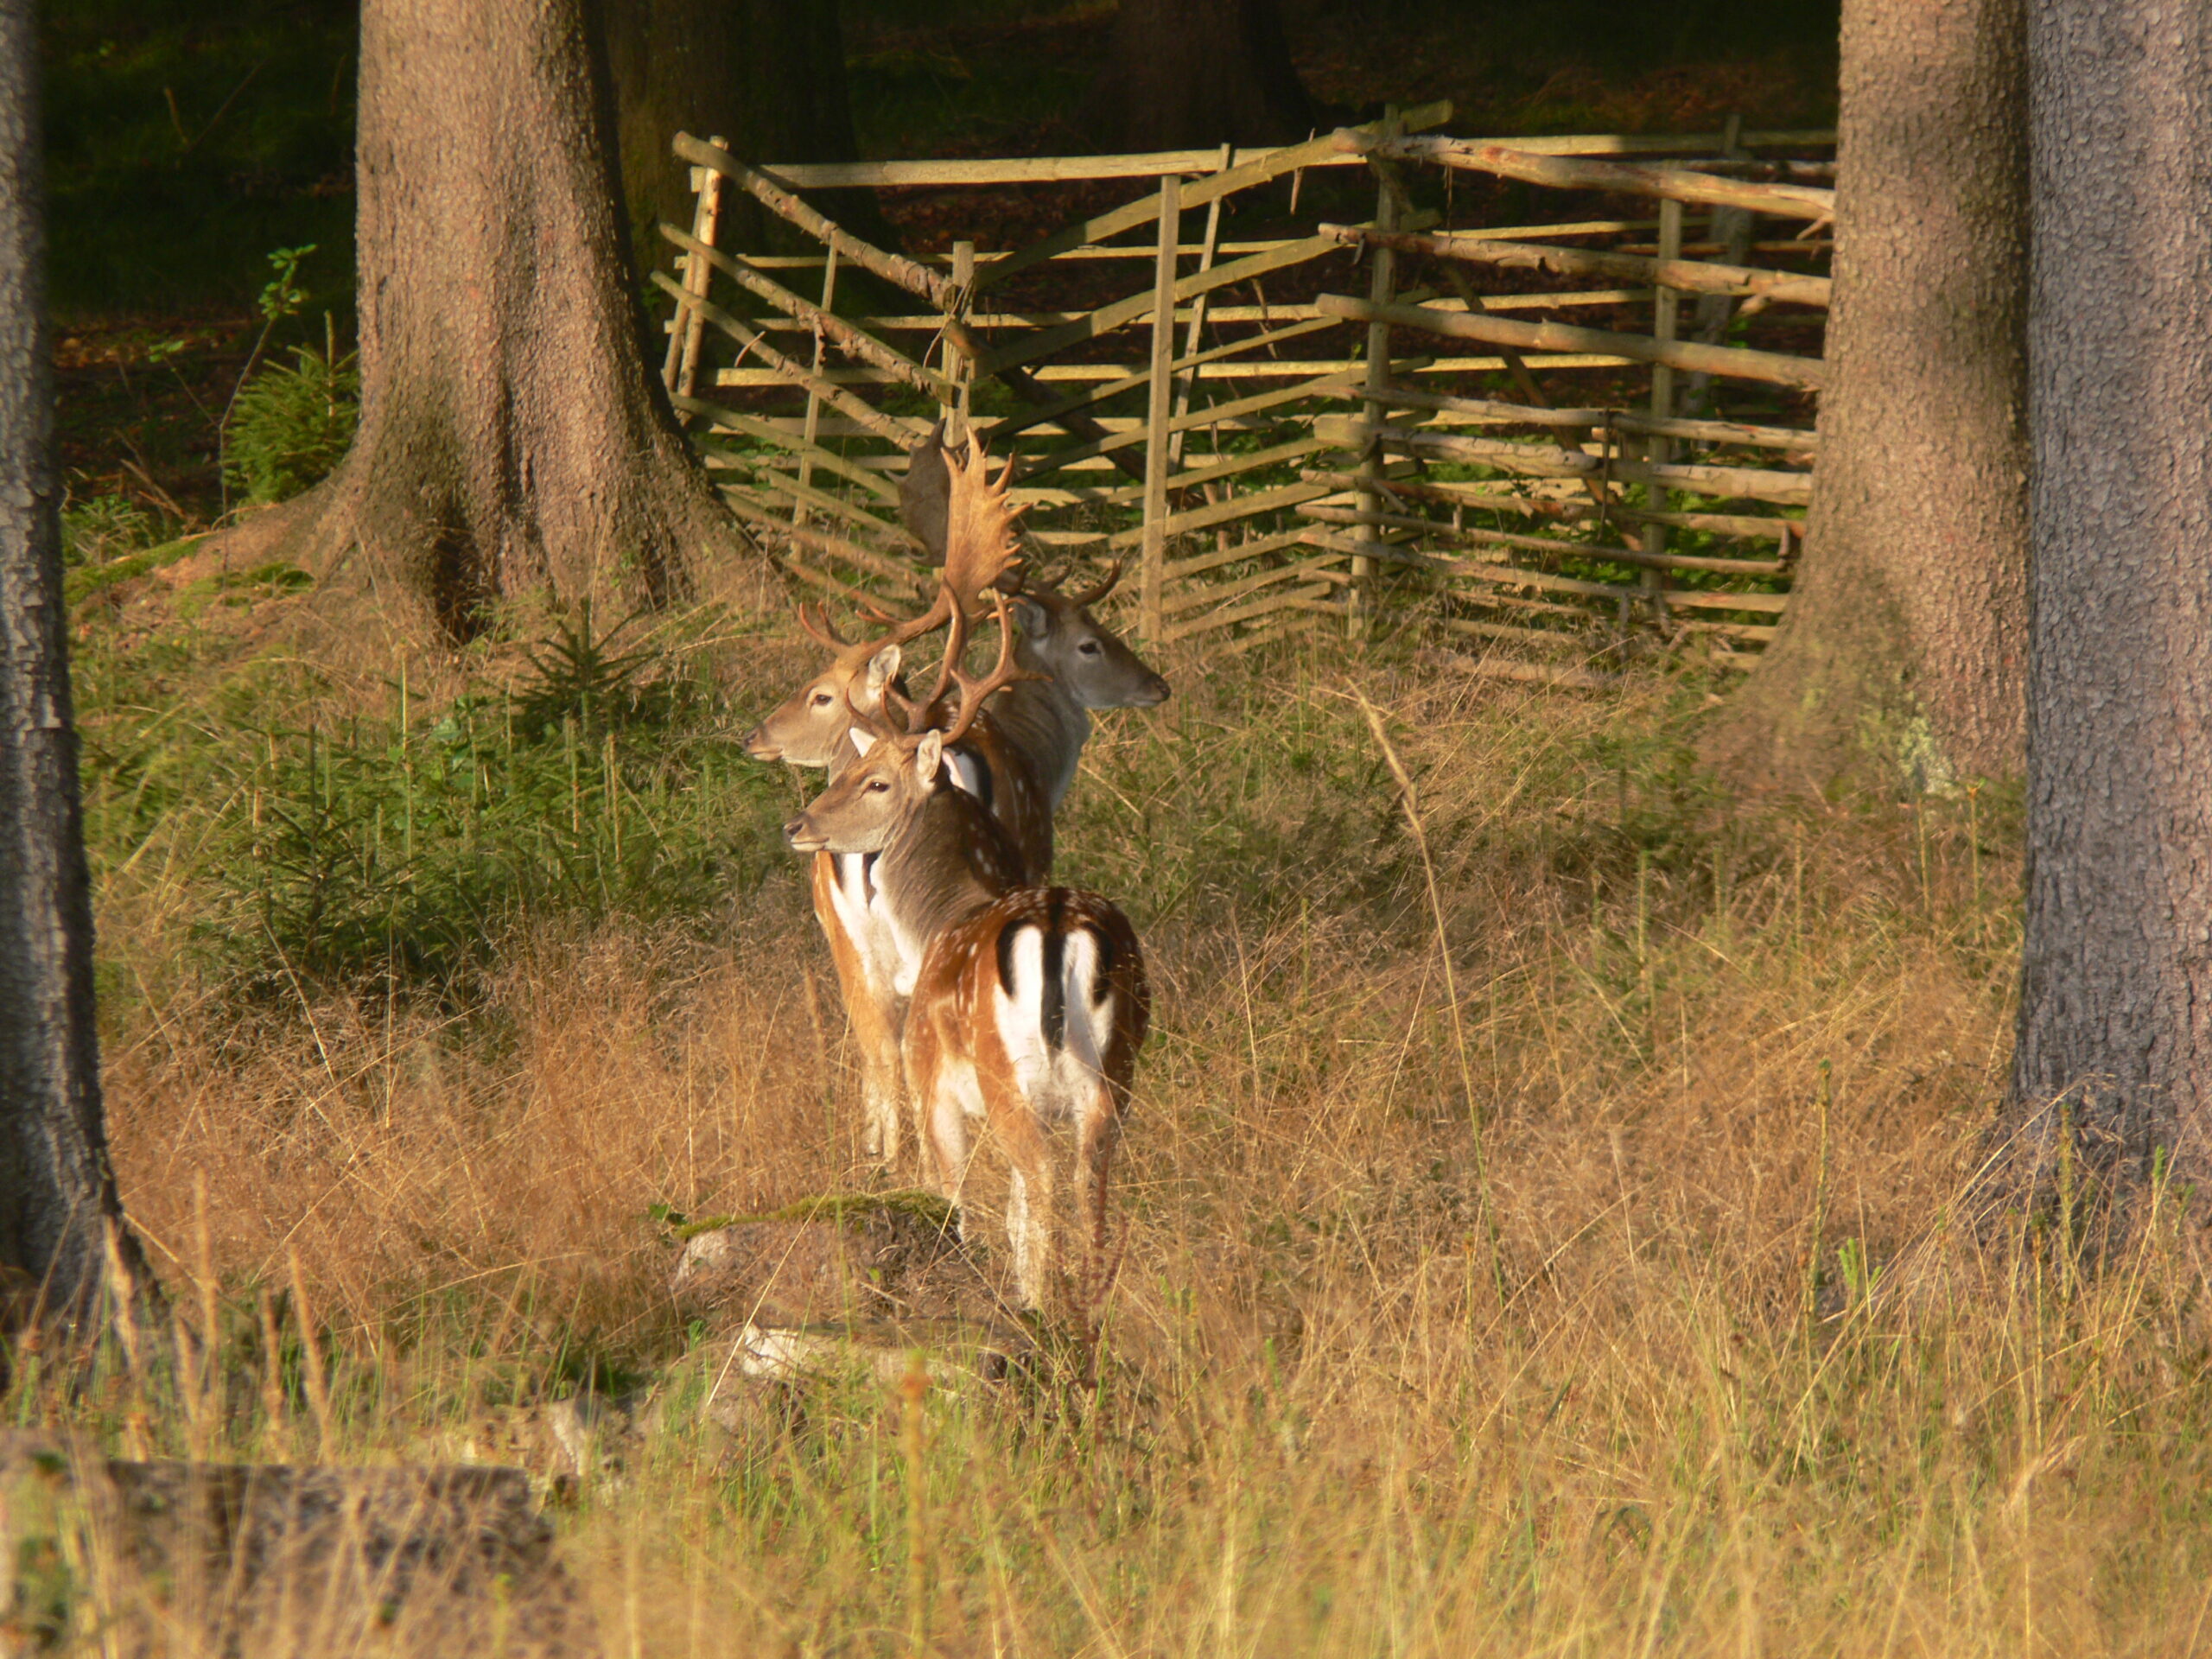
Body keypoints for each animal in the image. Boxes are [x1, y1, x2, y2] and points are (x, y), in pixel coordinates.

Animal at [787, 593, 1150, 1309]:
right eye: (854, 768)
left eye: (876, 782)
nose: (798, 824)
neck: (937, 922)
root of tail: (1059, 928)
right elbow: (1010, 1215)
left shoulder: (934, 1082)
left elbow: (950, 1196)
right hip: (1112, 1081)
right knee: (1088, 1189)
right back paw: (1087, 1301)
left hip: (1007, 1079)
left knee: (1041, 1181)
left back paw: (1046, 1308)